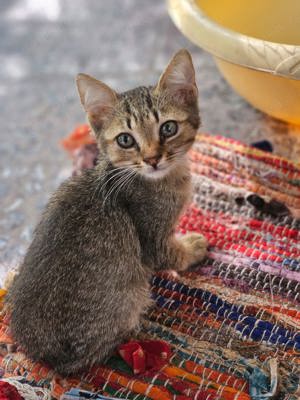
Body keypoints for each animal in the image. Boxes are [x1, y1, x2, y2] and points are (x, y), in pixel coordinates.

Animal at [7, 49, 209, 376]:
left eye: (168, 128)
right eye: (126, 139)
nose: (152, 159)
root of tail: (43, 356)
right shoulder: (153, 240)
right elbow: (174, 254)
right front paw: (192, 247)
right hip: (133, 295)